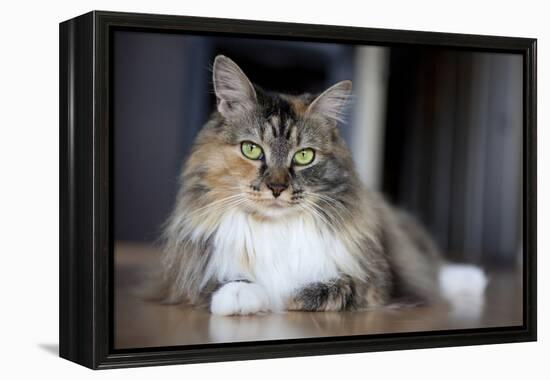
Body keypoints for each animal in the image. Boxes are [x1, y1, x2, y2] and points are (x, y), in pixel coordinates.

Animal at [154, 55, 488, 316]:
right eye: (251, 149)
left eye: (304, 156)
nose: (277, 188)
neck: (275, 230)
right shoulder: (183, 276)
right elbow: (216, 284)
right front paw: (241, 295)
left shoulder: (373, 281)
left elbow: (335, 287)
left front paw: (291, 296)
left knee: (432, 270)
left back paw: (472, 278)